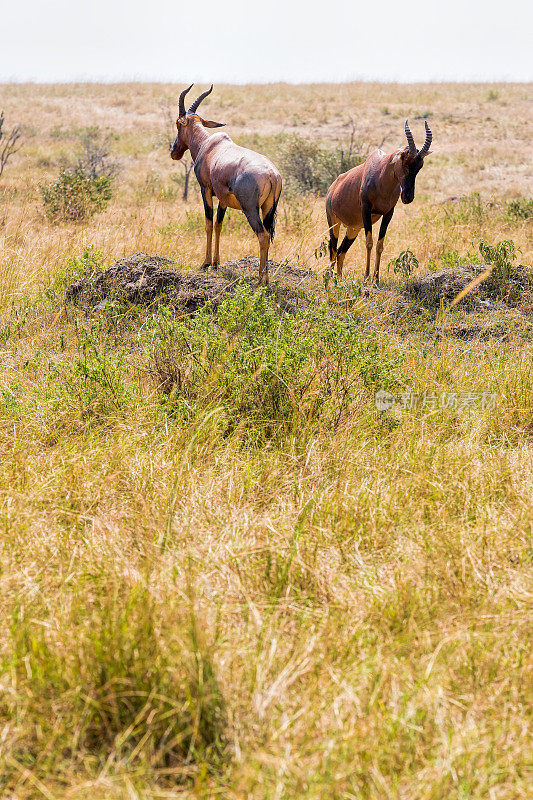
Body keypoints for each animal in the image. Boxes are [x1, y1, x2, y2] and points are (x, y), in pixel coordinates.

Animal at [170, 83, 282, 284]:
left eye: (177, 124)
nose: (174, 152)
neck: (209, 145)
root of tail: (272, 174)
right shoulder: (223, 199)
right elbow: (218, 225)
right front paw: (216, 263)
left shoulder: (205, 189)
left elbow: (208, 223)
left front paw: (205, 263)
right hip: (269, 208)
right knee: (269, 235)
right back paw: (266, 277)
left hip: (250, 209)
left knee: (263, 235)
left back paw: (260, 280)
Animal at [324, 119, 432, 282]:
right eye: (404, 162)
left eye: (420, 166)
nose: (407, 197)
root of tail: (332, 187)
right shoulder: (366, 210)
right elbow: (369, 243)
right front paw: (366, 276)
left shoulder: (388, 213)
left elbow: (380, 245)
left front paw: (376, 278)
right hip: (334, 222)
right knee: (333, 249)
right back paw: (330, 279)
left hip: (353, 229)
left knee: (341, 252)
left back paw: (339, 279)